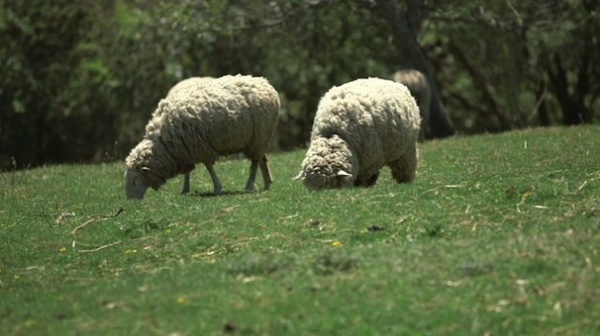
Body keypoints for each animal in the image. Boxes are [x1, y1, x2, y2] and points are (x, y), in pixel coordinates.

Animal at [125, 74, 280, 198]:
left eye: (134, 180)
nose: (130, 201)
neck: (165, 144)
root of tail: (265, 82)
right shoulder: (185, 150)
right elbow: (187, 172)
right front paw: (185, 189)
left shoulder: (199, 147)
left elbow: (209, 167)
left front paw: (217, 188)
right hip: (258, 138)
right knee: (262, 159)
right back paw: (267, 184)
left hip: (259, 136)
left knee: (255, 163)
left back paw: (249, 186)